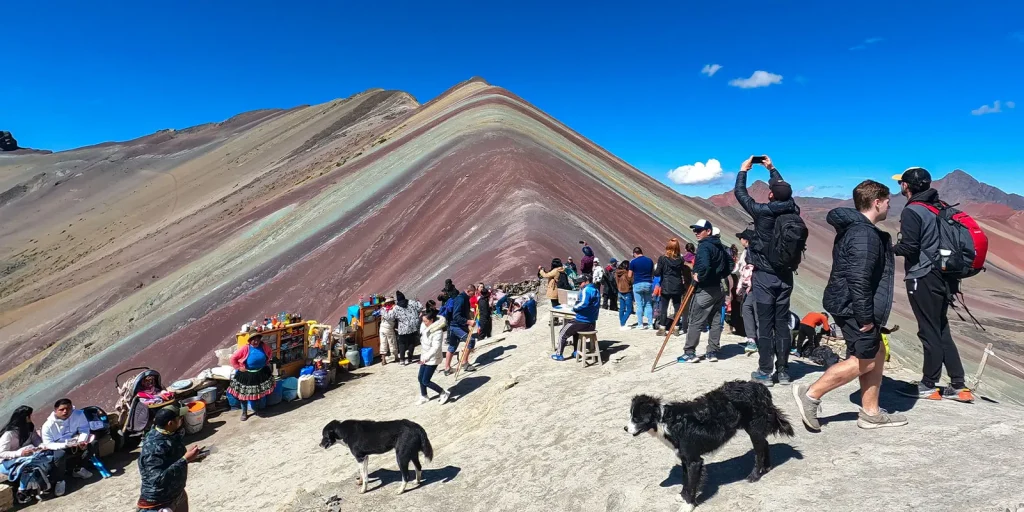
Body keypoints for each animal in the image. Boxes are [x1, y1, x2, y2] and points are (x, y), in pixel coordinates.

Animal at [622, 380, 798, 507]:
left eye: (636, 418)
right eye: (631, 416)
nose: (625, 428)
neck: (664, 421)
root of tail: (760, 387)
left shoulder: (694, 460)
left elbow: (692, 483)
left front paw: (688, 505)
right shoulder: (685, 459)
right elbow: (686, 481)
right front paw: (682, 497)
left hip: (753, 429)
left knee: (759, 451)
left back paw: (754, 475)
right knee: (765, 444)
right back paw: (766, 468)